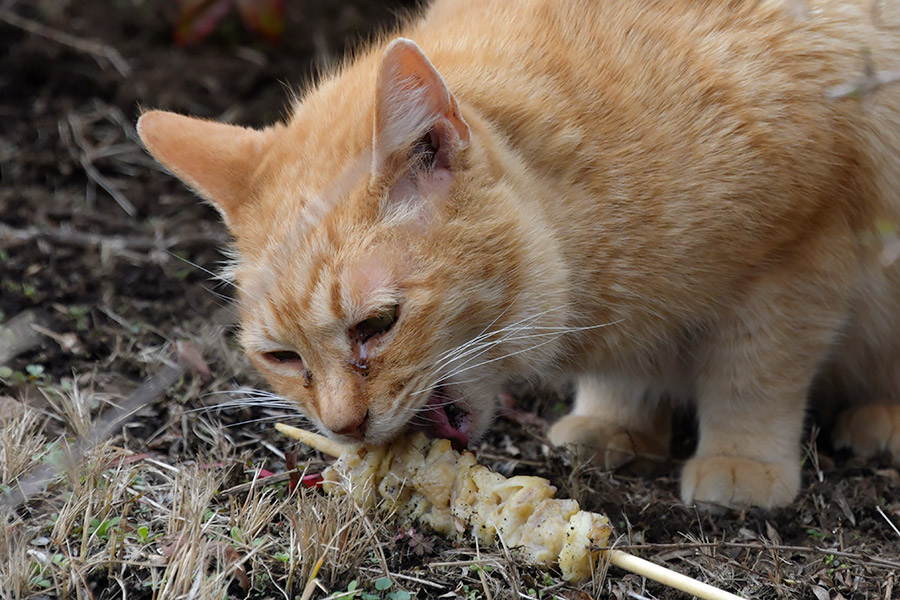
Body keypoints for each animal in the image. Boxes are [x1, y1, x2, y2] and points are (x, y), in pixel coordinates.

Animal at [139, 0, 900, 510]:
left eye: (377, 325)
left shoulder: (801, 255)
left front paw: (740, 460)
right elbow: (631, 374)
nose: (343, 428)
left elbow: (754, 376)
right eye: (283, 357)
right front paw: (617, 422)